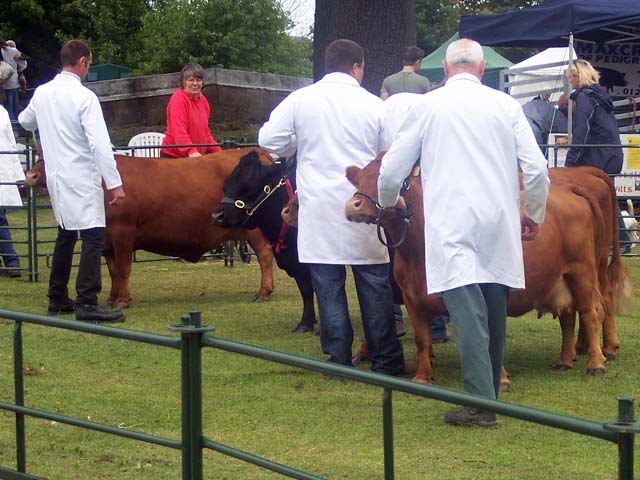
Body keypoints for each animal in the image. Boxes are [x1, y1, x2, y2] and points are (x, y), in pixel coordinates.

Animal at [25, 148, 276, 310]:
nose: (31, 175)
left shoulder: (123, 232)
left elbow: (124, 268)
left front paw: (123, 301)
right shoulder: (107, 240)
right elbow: (113, 270)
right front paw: (111, 299)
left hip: (256, 229)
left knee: (265, 254)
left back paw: (264, 292)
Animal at [344, 156, 632, 384]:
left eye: (389, 180)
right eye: (359, 181)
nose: (354, 206)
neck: (420, 250)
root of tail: (572, 186)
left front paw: (501, 379)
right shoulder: (412, 298)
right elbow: (422, 339)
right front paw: (422, 377)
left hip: (583, 271)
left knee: (591, 311)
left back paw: (597, 361)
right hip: (560, 277)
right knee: (568, 315)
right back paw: (565, 359)